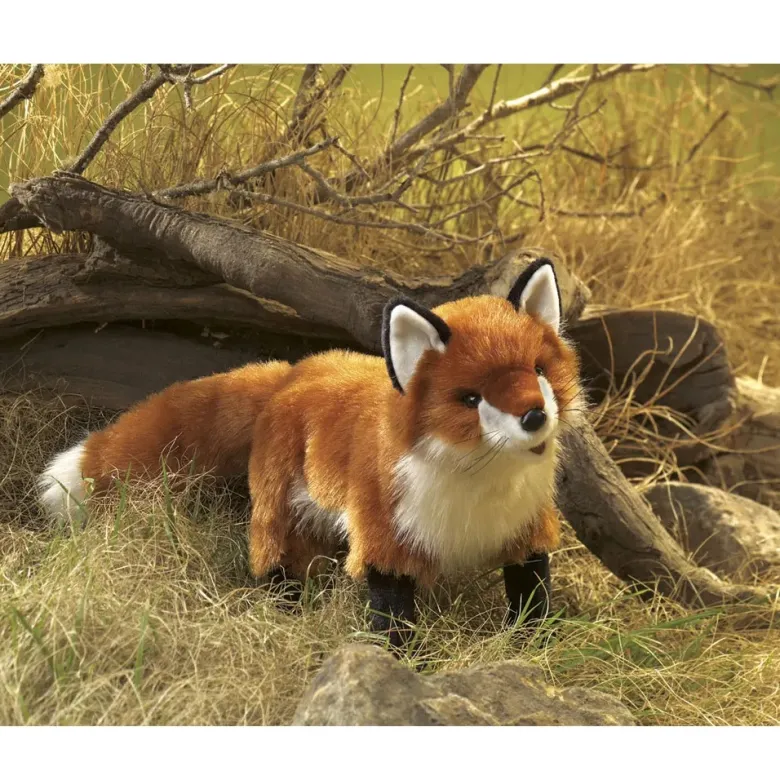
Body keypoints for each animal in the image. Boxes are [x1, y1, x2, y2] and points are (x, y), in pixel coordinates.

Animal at [39, 258, 582, 647]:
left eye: (538, 370)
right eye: (471, 399)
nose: (534, 416)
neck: (479, 494)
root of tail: (294, 371)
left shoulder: (527, 532)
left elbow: (532, 598)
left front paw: (536, 649)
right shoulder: (386, 538)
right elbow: (393, 618)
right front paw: (407, 665)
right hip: (280, 514)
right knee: (274, 564)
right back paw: (285, 610)